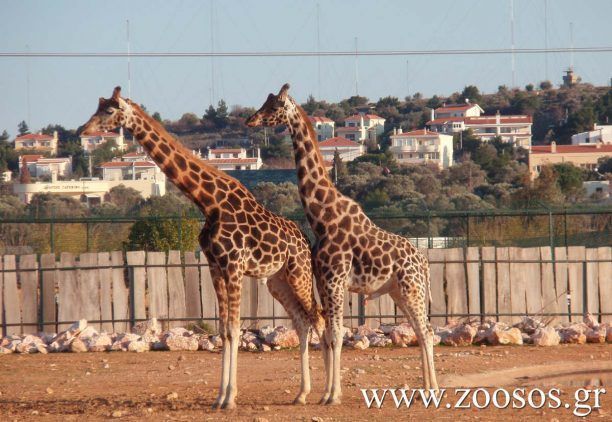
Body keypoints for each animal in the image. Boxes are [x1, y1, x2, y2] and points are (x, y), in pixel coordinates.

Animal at [81, 86, 326, 408]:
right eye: (97, 106)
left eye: (109, 111)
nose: (83, 130)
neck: (209, 202)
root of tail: (305, 240)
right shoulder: (214, 266)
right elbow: (224, 331)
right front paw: (219, 397)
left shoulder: (233, 266)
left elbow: (234, 328)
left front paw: (231, 397)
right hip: (277, 280)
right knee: (301, 322)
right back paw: (302, 393)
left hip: (299, 274)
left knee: (318, 319)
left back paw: (329, 394)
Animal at [246, 83, 438, 406]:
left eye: (274, 106)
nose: (250, 120)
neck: (322, 217)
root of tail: (423, 260)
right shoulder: (324, 282)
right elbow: (328, 334)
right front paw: (326, 392)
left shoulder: (335, 281)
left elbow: (336, 336)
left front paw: (332, 396)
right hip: (398, 291)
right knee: (419, 329)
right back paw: (424, 388)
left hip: (412, 288)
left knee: (426, 330)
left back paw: (433, 388)